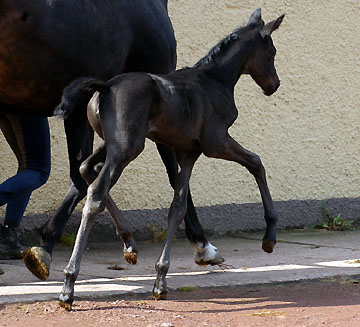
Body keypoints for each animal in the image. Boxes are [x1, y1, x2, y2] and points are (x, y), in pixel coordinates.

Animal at [55, 8, 284, 310]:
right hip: (127, 148)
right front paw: (269, 237)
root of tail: (105, 86)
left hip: (114, 144)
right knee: (96, 194)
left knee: (85, 168)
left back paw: (129, 244)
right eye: (272, 52)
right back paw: (68, 285)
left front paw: (161, 279)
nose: (274, 85)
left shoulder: (188, 153)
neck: (215, 81)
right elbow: (256, 162)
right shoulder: (216, 142)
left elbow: (178, 206)